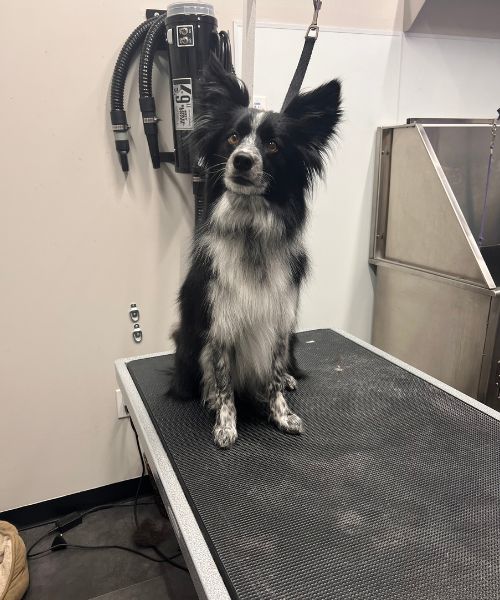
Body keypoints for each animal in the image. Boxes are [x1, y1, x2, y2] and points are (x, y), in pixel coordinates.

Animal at [170, 58, 342, 448]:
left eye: (274, 145)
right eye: (233, 138)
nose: (243, 161)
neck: (251, 231)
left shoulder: (279, 320)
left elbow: (275, 372)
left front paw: (281, 414)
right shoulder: (220, 323)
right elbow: (222, 380)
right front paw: (225, 422)